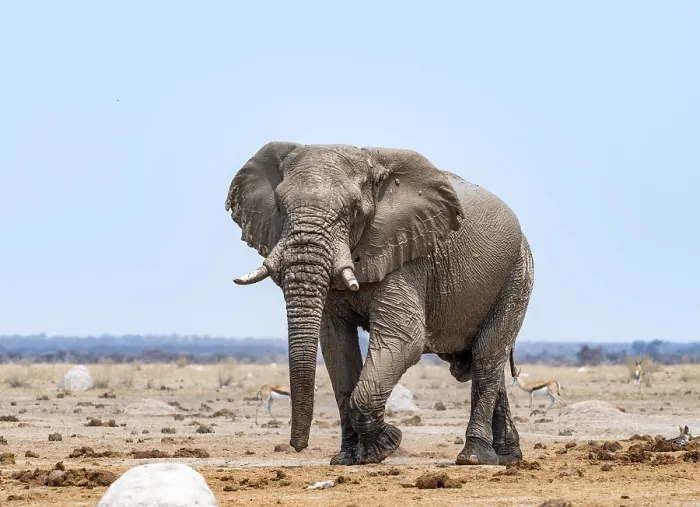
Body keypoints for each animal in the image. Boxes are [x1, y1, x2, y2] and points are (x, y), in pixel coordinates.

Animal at [224, 142, 535, 466]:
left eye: (354, 210)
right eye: (280, 207)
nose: (297, 446)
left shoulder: (406, 254)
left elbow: (403, 340)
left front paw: (384, 447)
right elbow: (337, 347)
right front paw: (346, 459)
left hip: (517, 276)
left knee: (487, 355)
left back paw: (473, 458)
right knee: (485, 363)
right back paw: (508, 458)